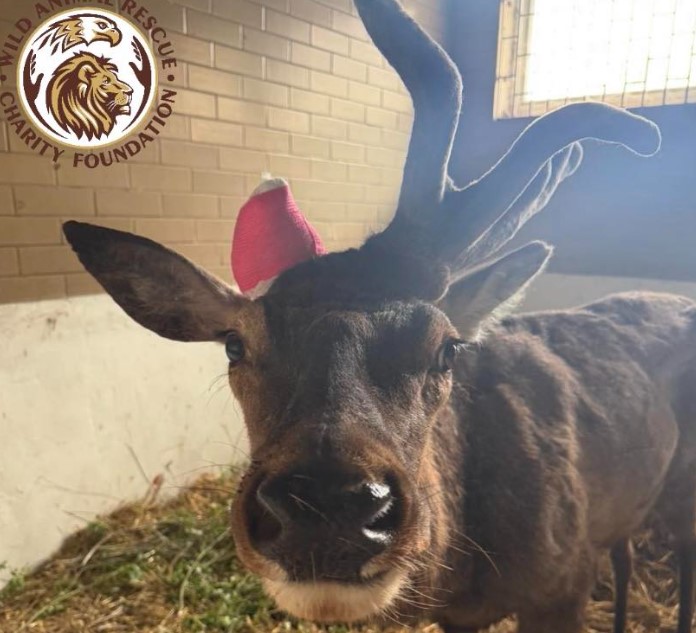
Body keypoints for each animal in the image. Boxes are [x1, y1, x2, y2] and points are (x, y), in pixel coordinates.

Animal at [61, 1, 695, 632]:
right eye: (235, 345)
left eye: (446, 347)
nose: (325, 507)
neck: (467, 566)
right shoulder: (460, 614)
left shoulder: (563, 580)